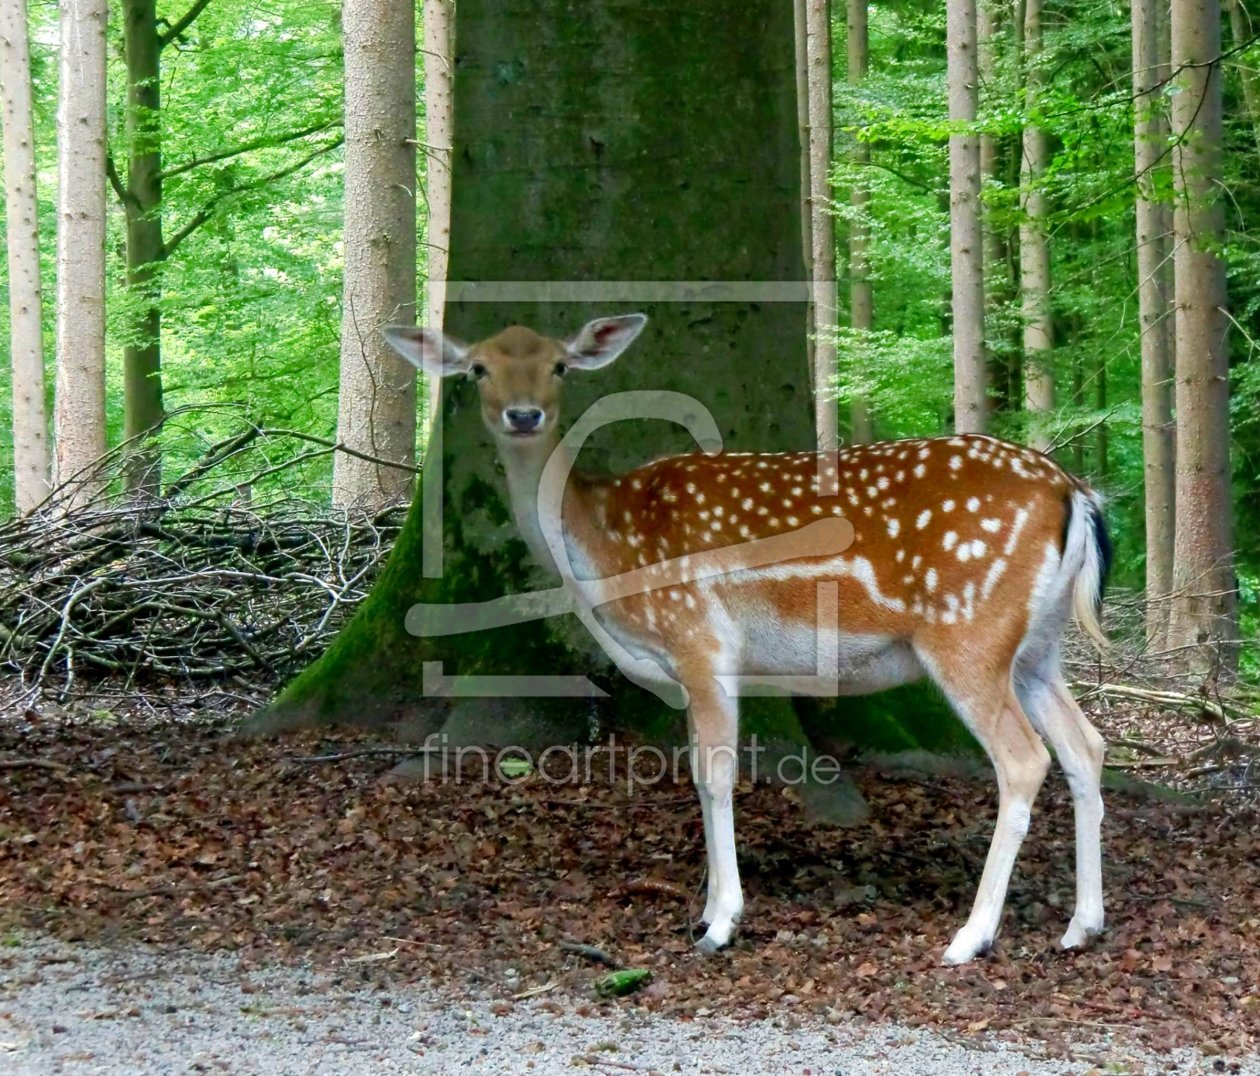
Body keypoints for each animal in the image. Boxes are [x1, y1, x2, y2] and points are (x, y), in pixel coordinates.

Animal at [385, 313, 1113, 967]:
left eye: (560, 365)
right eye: (478, 368)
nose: (524, 415)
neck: (605, 549)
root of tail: (1076, 494)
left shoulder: (699, 642)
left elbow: (716, 776)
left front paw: (721, 923)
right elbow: (697, 774)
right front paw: (706, 908)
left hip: (969, 630)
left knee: (1024, 758)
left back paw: (971, 938)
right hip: (1036, 647)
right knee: (1086, 744)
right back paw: (1081, 926)